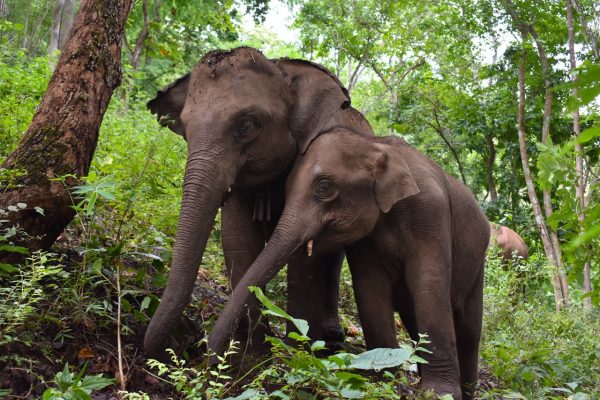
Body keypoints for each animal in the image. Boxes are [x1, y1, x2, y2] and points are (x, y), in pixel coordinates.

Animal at [144, 46, 376, 360]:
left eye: (245, 126)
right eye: (186, 128)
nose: (189, 349)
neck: (284, 71)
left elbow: (302, 256)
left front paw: (296, 352)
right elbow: (239, 241)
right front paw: (251, 353)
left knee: (333, 257)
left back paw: (332, 337)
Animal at [209, 130, 490, 398]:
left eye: (324, 187)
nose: (210, 359)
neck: (376, 146)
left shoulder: (430, 214)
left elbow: (429, 286)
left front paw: (440, 394)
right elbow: (370, 291)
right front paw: (386, 383)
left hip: (478, 266)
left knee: (469, 330)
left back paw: (466, 391)